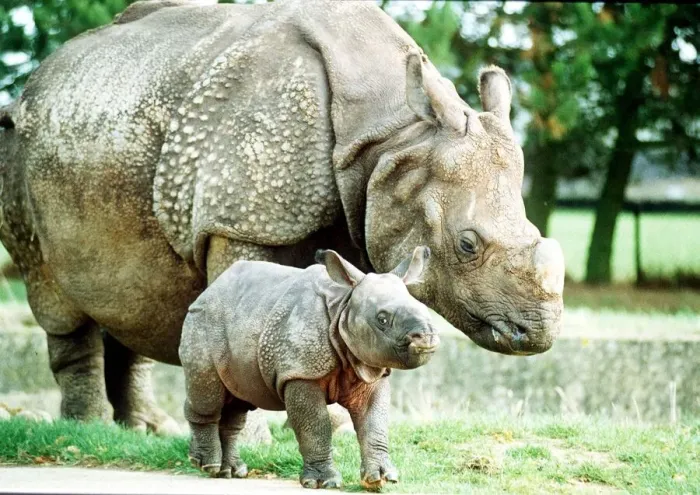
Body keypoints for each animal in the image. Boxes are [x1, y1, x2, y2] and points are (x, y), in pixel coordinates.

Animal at [0, 0, 565, 434]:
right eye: (468, 245)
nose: (537, 334)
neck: (393, 137)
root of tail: (37, 79)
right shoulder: (240, 220)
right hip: (20, 150)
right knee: (52, 289)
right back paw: (88, 429)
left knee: (131, 290)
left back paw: (141, 431)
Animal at [181, 246, 438, 488]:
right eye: (382, 319)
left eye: (424, 309)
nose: (426, 337)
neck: (343, 305)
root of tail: (207, 292)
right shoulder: (299, 372)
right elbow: (315, 426)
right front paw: (323, 482)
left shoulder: (369, 369)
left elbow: (375, 423)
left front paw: (382, 479)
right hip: (202, 321)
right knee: (209, 395)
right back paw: (206, 465)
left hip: (244, 317)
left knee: (237, 401)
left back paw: (231, 471)